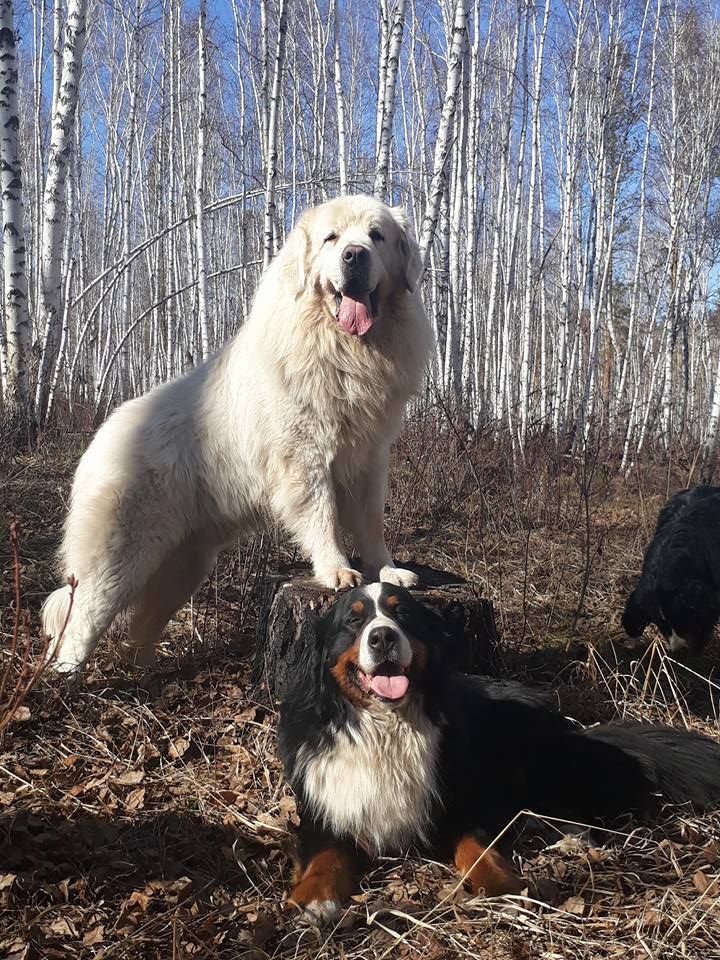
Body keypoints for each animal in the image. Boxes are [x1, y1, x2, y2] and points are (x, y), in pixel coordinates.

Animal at [41, 196, 434, 672]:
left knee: (141, 627)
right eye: (332, 238)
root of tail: (100, 437)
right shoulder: (305, 459)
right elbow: (323, 518)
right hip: (120, 555)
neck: (343, 349)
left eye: (376, 236)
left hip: (185, 565)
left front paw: (387, 571)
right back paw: (66, 677)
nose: (354, 255)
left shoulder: (369, 459)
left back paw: (148, 674)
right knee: (83, 616)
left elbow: (372, 525)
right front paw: (337, 570)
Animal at [279, 583, 720, 924]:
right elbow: (325, 856)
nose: (383, 637)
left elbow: (478, 849)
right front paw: (313, 898)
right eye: (353, 621)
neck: (385, 727)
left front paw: (503, 887)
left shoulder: (466, 800)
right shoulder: (326, 808)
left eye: (400, 613)